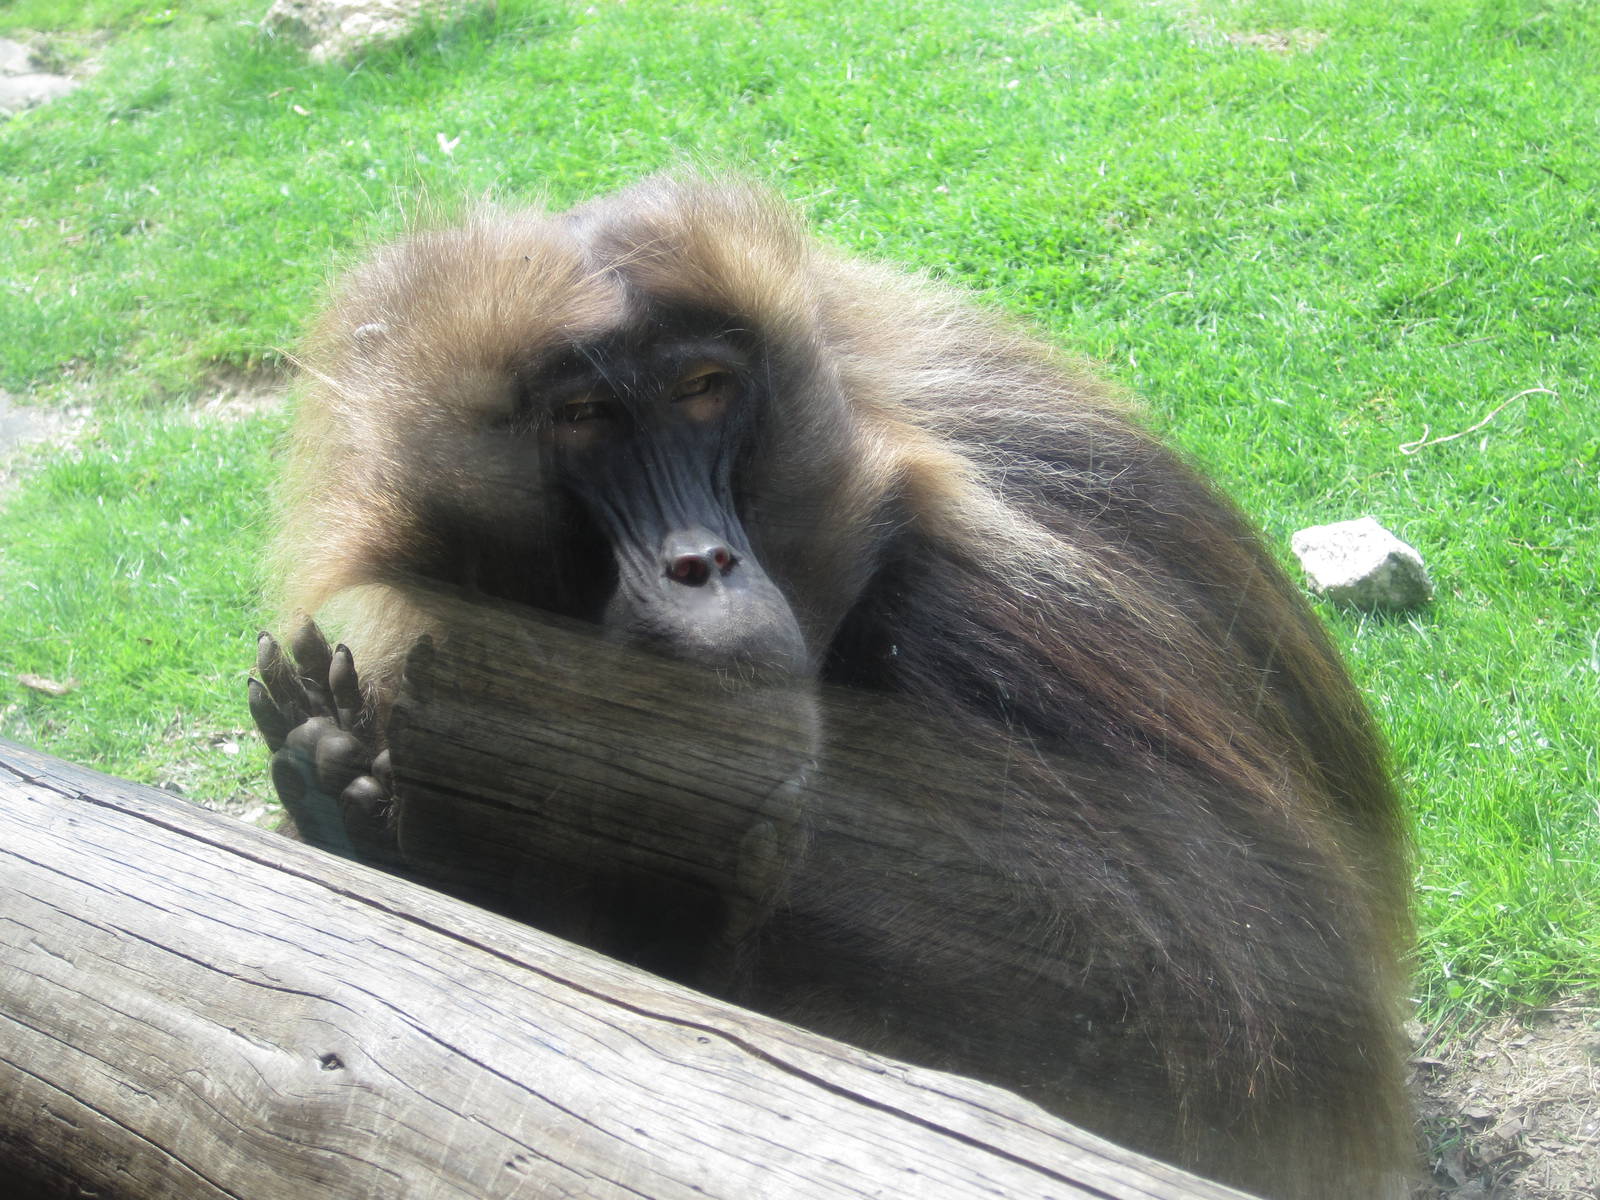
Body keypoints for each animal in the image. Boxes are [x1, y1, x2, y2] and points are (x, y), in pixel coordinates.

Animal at [250, 175, 1414, 1199]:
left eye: (703, 392)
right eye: (584, 416)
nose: (701, 565)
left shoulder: (983, 612)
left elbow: (1210, 995)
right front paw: (361, 784)